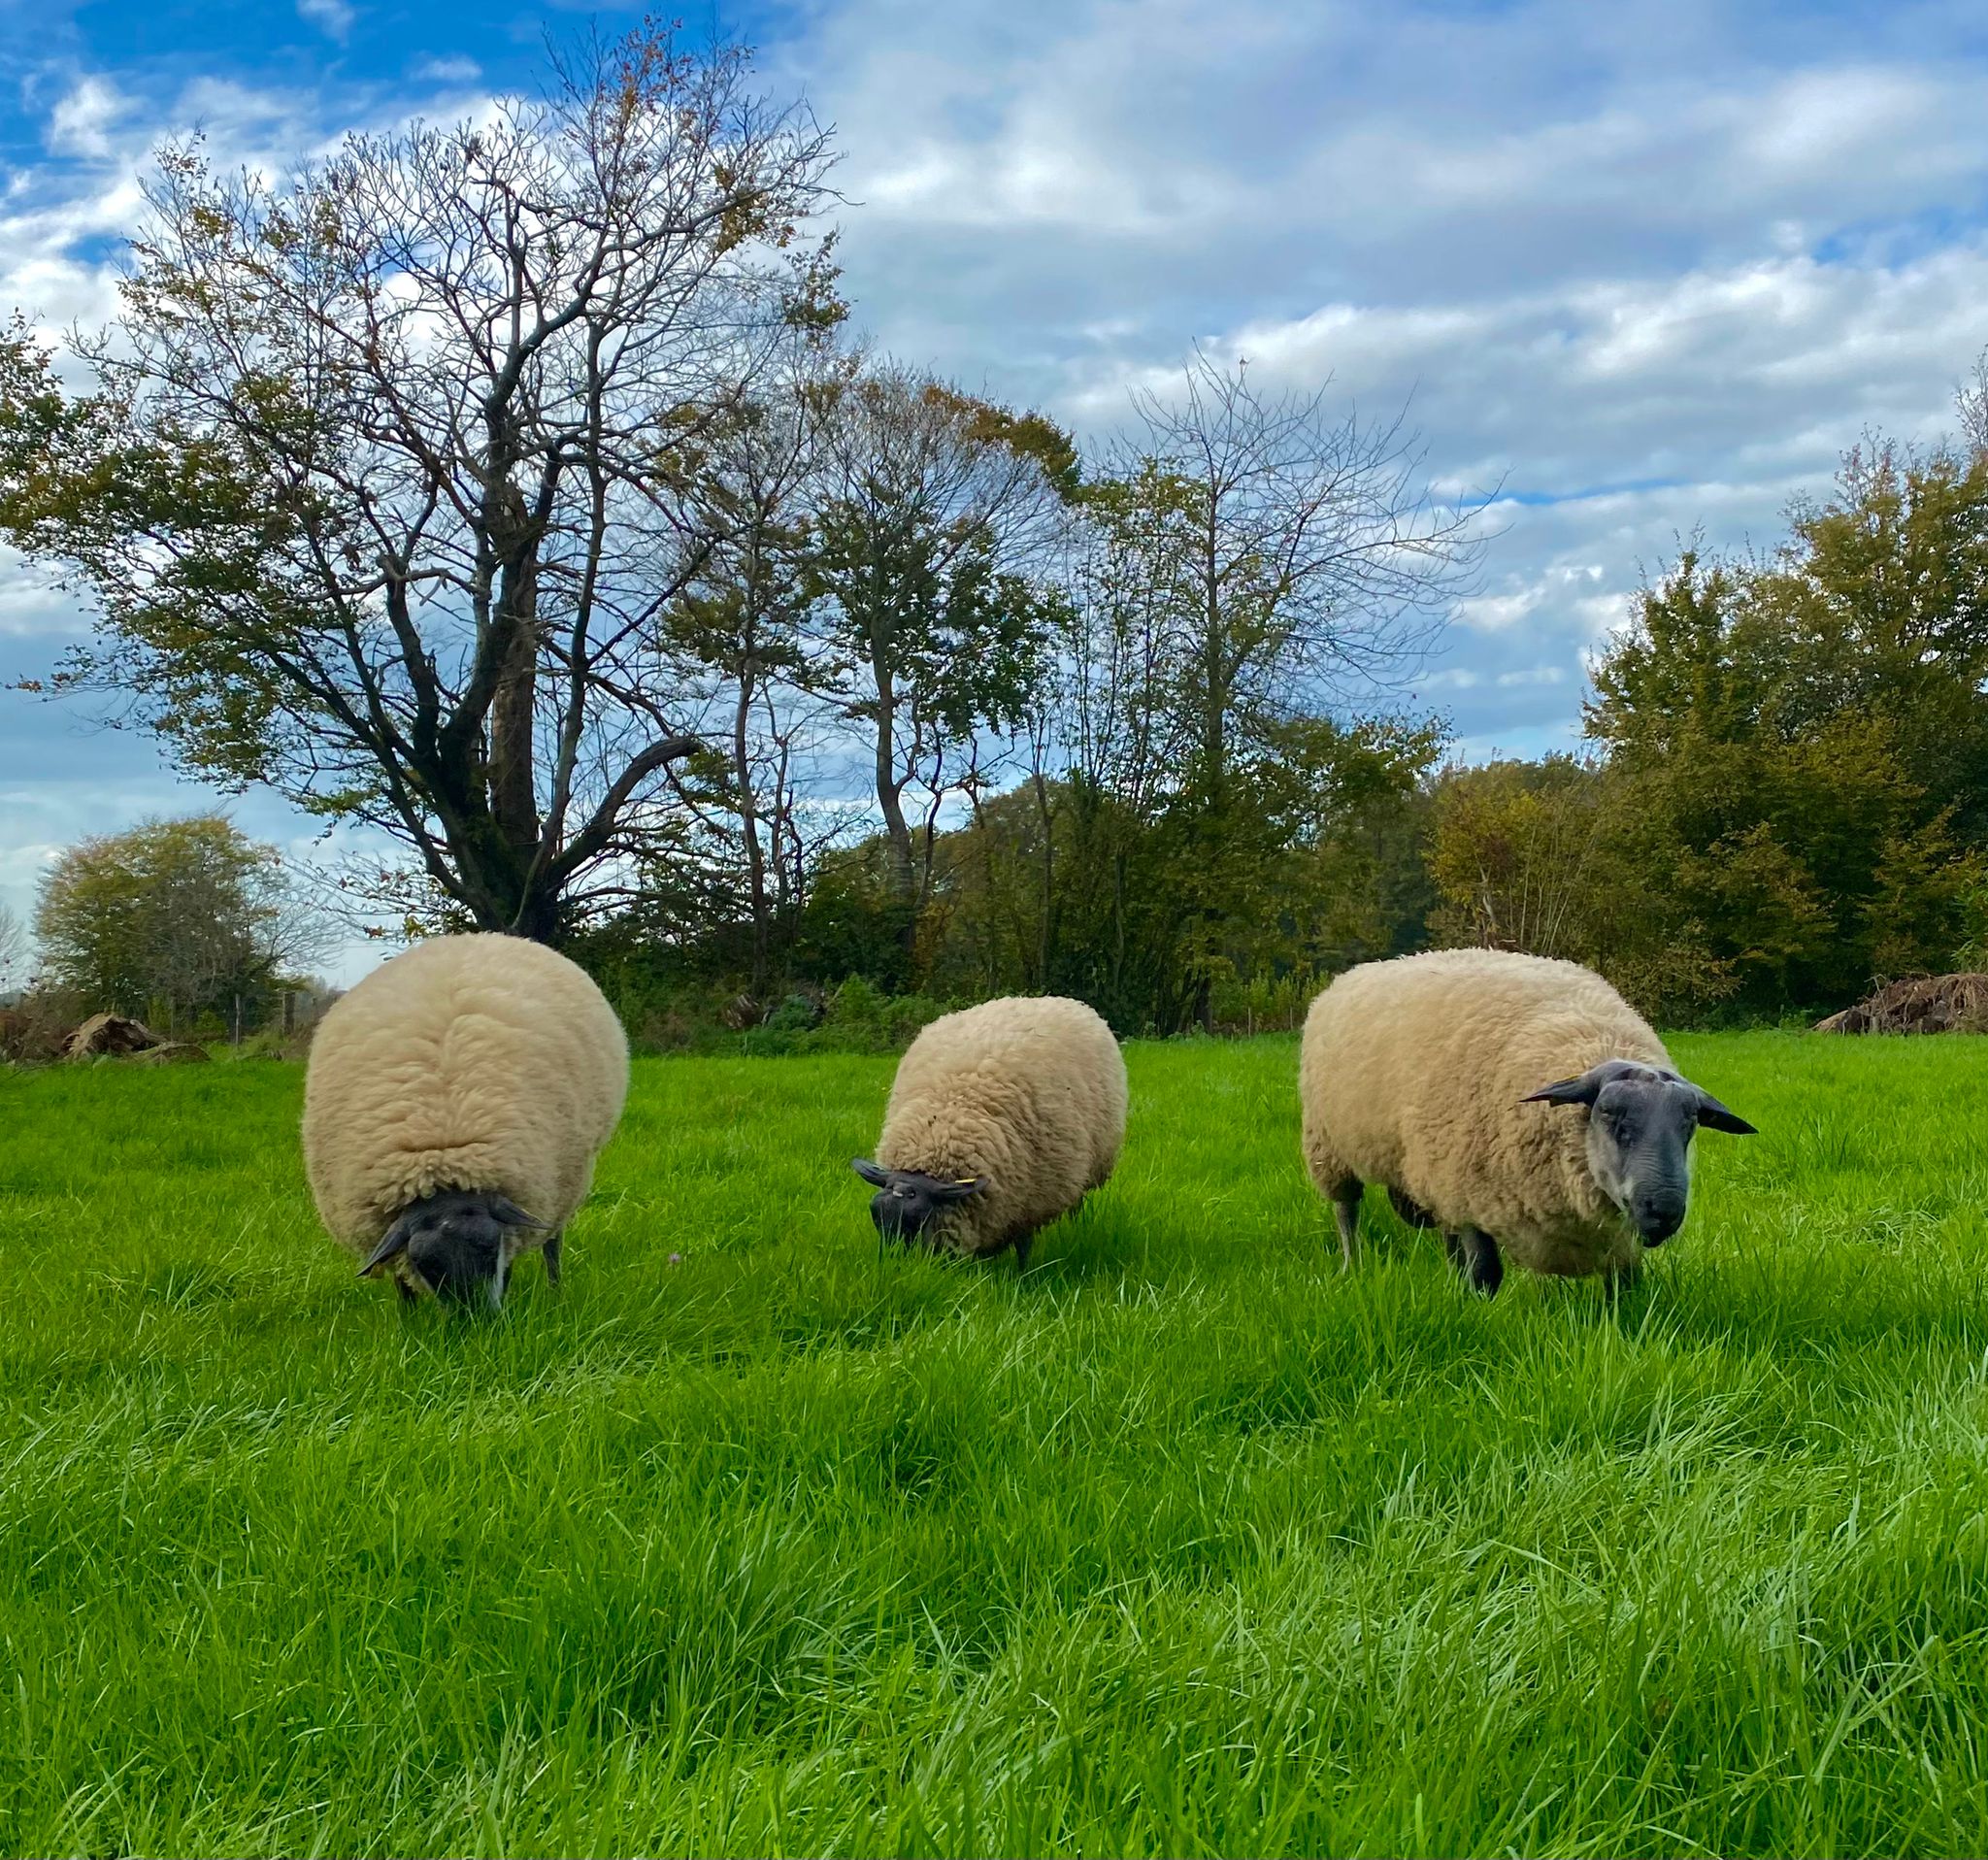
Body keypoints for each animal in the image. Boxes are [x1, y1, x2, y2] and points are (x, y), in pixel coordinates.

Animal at [302, 930, 624, 1312]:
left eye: (488, 1247)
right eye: (426, 1264)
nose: (476, 1320)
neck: (441, 1143)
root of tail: (481, 935)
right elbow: (400, 1279)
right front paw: (409, 1320)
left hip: (566, 1181)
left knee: (553, 1243)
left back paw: (555, 1291)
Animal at [854, 993, 1137, 1272]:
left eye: (917, 1221)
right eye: (877, 1218)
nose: (895, 1269)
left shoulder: (1030, 1202)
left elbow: (1023, 1246)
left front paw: (1023, 1275)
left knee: (1077, 1204)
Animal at [1304, 946, 1757, 1295]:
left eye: (1691, 1125)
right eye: (1608, 1115)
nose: (1663, 1212)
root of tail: (1356, 971)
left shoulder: (1617, 1238)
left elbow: (1626, 1289)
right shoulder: (1471, 1199)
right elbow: (1485, 1274)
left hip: (1427, 1170)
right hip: (1329, 1147)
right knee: (1347, 1212)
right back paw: (1352, 1266)